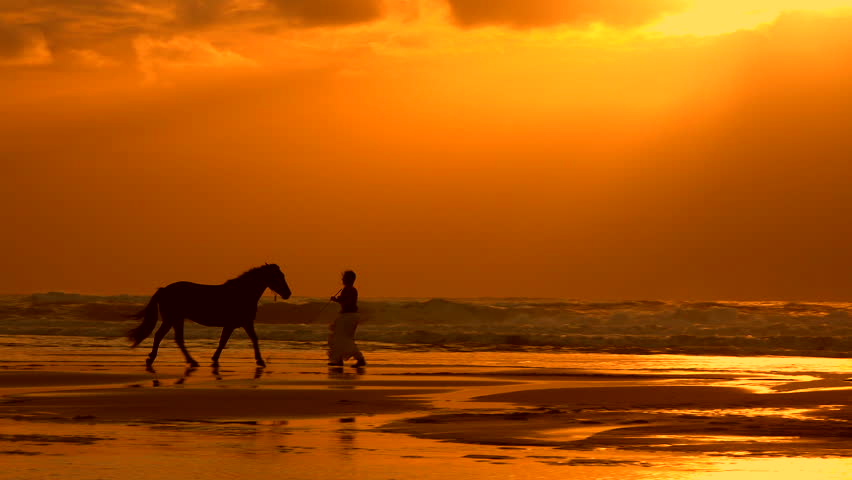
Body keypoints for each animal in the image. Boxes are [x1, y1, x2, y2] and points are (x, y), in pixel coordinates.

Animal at [126, 264, 292, 370]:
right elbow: (227, 341)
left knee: (175, 339)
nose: (288, 293)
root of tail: (164, 289)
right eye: (277, 276)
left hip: (175, 319)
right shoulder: (237, 323)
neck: (242, 293)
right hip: (172, 319)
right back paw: (158, 359)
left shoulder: (243, 323)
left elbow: (245, 340)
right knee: (161, 336)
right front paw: (260, 361)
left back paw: (189, 361)